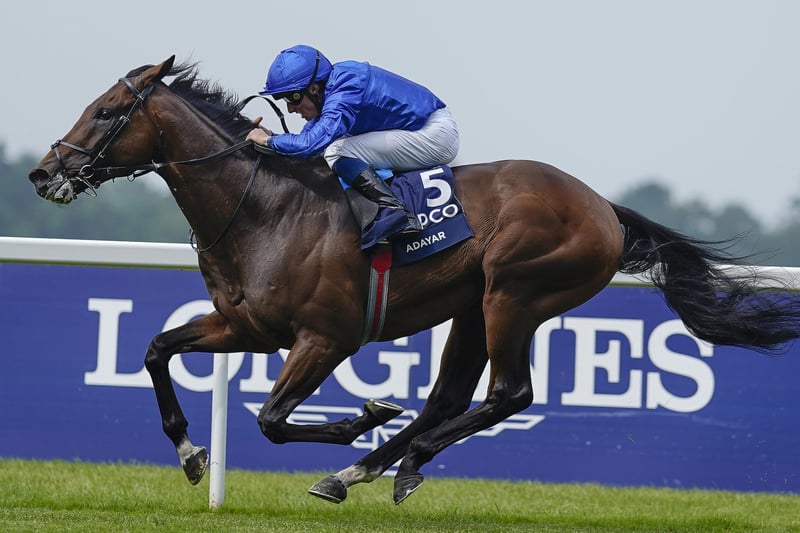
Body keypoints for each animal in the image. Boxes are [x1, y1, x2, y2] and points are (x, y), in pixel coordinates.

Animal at [28, 57, 796, 502]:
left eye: (106, 112)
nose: (42, 172)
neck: (265, 207)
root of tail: (602, 207)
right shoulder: (246, 324)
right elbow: (158, 350)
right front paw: (191, 454)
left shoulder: (326, 336)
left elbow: (273, 419)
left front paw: (361, 415)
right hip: (473, 307)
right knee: (448, 397)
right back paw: (369, 468)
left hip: (515, 293)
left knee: (508, 392)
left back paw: (389, 460)